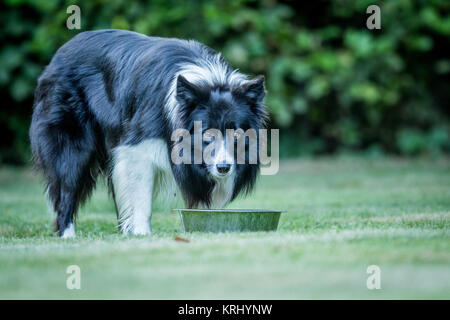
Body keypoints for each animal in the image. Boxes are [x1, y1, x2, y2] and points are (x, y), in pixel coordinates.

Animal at [29, 29, 268, 238]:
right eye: (207, 134)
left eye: (237, 135)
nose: (223, 168)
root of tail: (60, 53)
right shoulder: (137, 146)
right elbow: (141, 195)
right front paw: (142, 233)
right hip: (72, 143)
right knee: (67, 187)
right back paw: (67, 234)